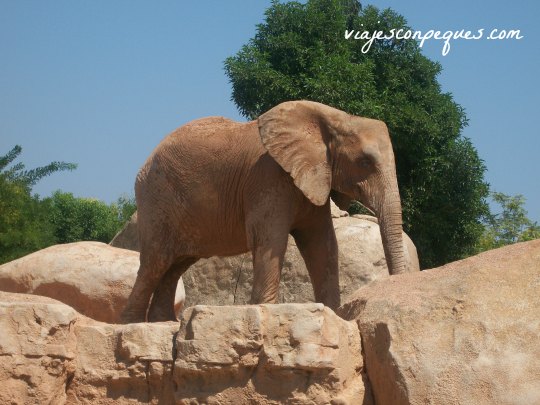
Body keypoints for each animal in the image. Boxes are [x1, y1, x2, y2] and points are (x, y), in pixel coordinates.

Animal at [119, 98, 404, 322]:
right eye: (365, 161)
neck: (338, 117)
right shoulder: (268, 177)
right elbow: (271, 240)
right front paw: (263, 311)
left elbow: (322, 244)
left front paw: (333, 314)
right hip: (157, 199)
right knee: (155, 261)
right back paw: (132, 323)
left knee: (175, 265)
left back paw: (162, 322)